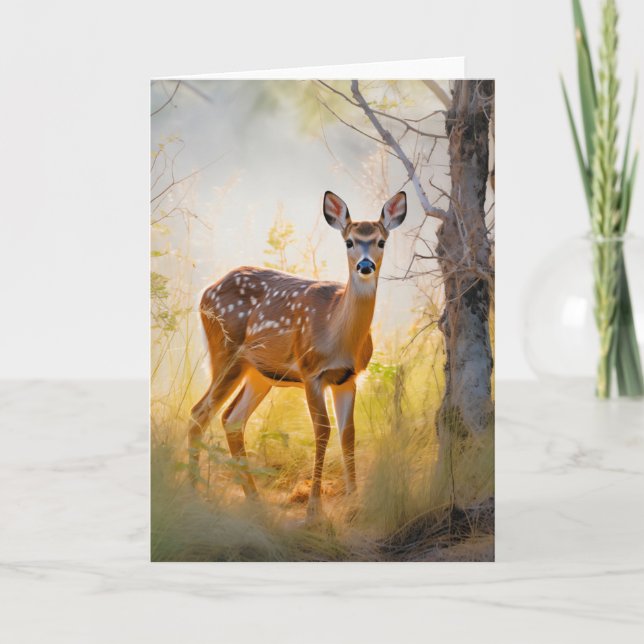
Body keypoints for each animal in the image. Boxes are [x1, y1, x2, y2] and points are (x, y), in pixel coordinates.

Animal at [188, 190, 407, 520]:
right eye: (349, 241)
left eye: (381, 241)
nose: (366, 265)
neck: (337, 333)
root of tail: (205, 292)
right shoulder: (310, 371)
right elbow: (322, 431)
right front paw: (314, 510)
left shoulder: (349, 378)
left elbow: (348, 433)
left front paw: (355, 505)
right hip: (225, 352)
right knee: (199, 413)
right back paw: (194, 493)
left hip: (260, 373)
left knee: (231, 419)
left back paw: (254, 500)